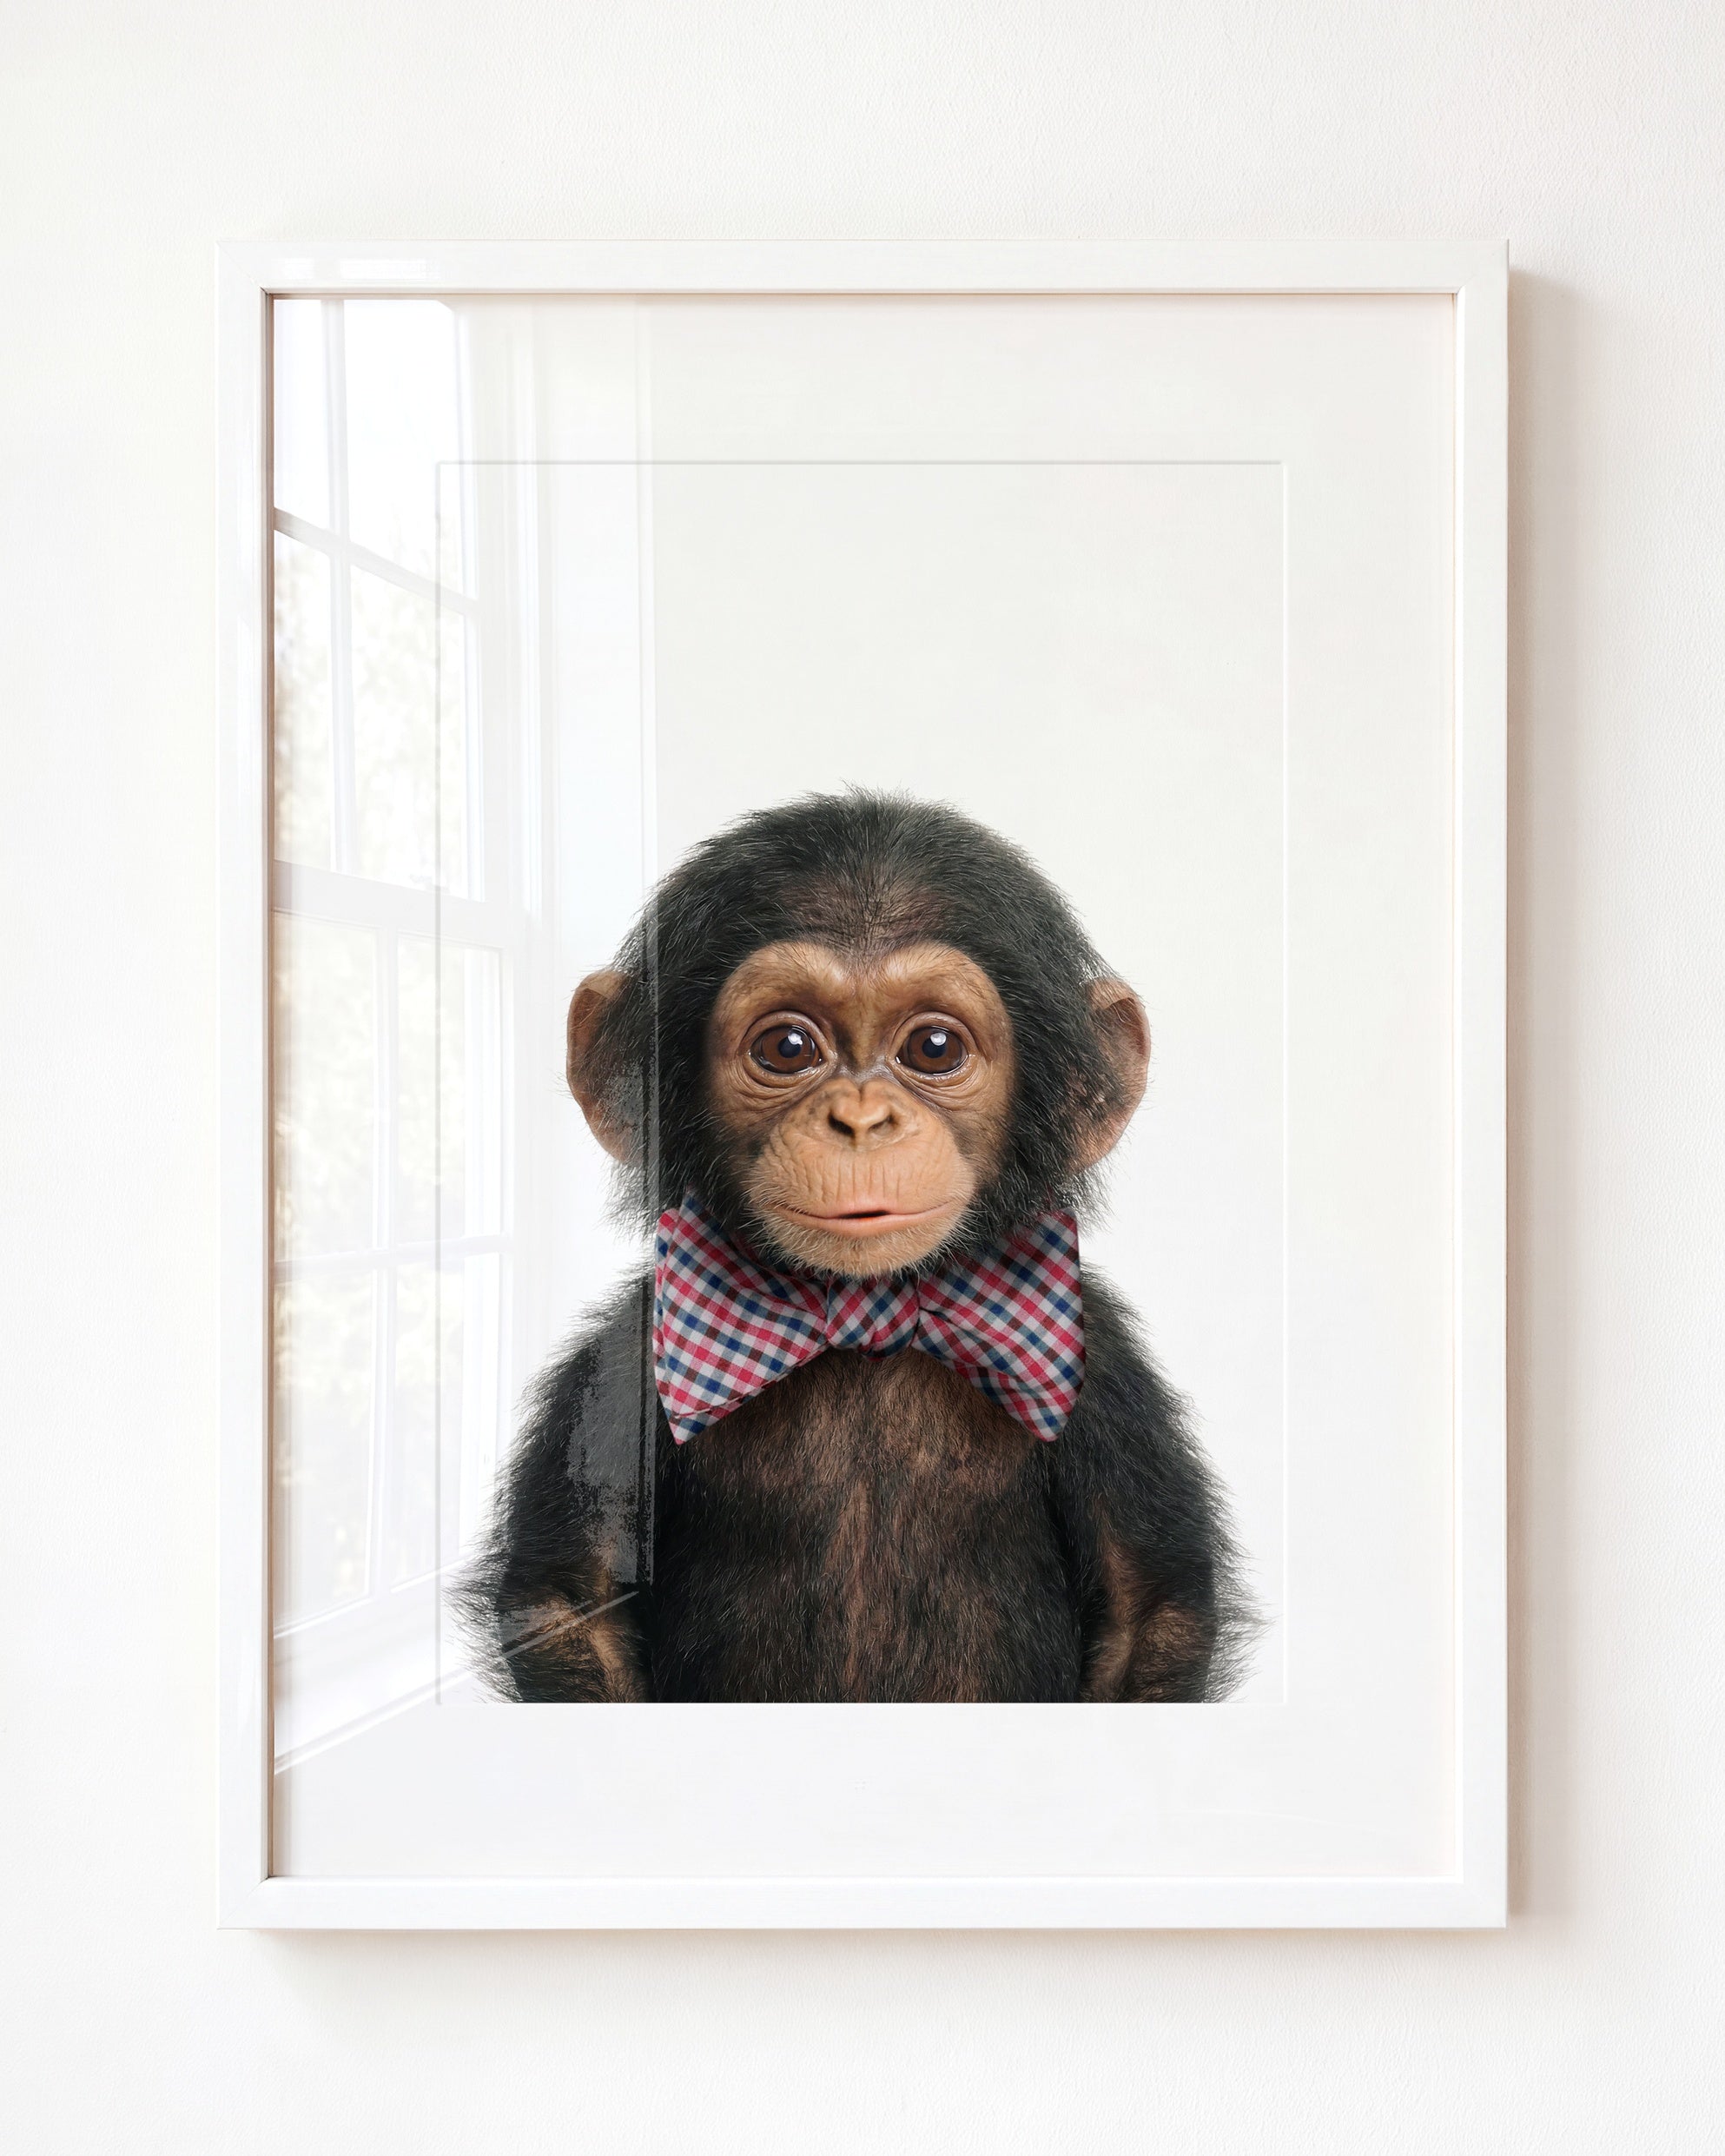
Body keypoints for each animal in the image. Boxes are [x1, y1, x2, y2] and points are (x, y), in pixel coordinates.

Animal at [457, 791, 1254, 1703]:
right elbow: (570, 1602)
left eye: (934, 1048)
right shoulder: (625, 1358)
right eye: (787, 1047)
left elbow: (1148, 1608)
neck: (866, 1315)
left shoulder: (1105, 1371)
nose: (862, 1120)